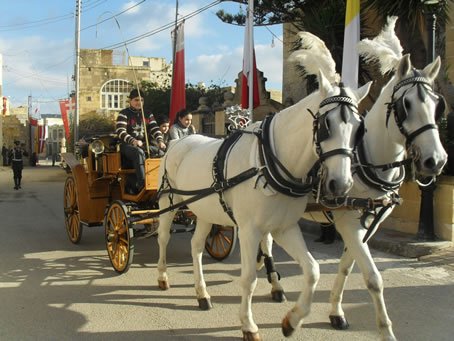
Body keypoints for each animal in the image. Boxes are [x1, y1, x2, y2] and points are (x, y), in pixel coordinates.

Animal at [156, 31, 372, 338]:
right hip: (169, 202)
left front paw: (292, 320)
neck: (270, 162)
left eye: (359, 128)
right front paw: (248, 324)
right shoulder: (249, 230)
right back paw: (163, 276)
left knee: (196, 246)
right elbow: (248, 278)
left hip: (206, 211)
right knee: (163, 237)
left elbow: (313, 270)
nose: (340, 184)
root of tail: (177, 142)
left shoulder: (284, 227)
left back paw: (202, 294)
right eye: (326, 124)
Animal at [258, 16, 446, 340]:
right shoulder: (347, 221)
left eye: (437, 105)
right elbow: (372, 277)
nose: (436, 160)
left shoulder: (367, 224)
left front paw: (336, 312)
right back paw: (276, 285)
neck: (366, 161)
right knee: (266, 242)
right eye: (406, 104)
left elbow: (347, 267)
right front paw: (385, 330)